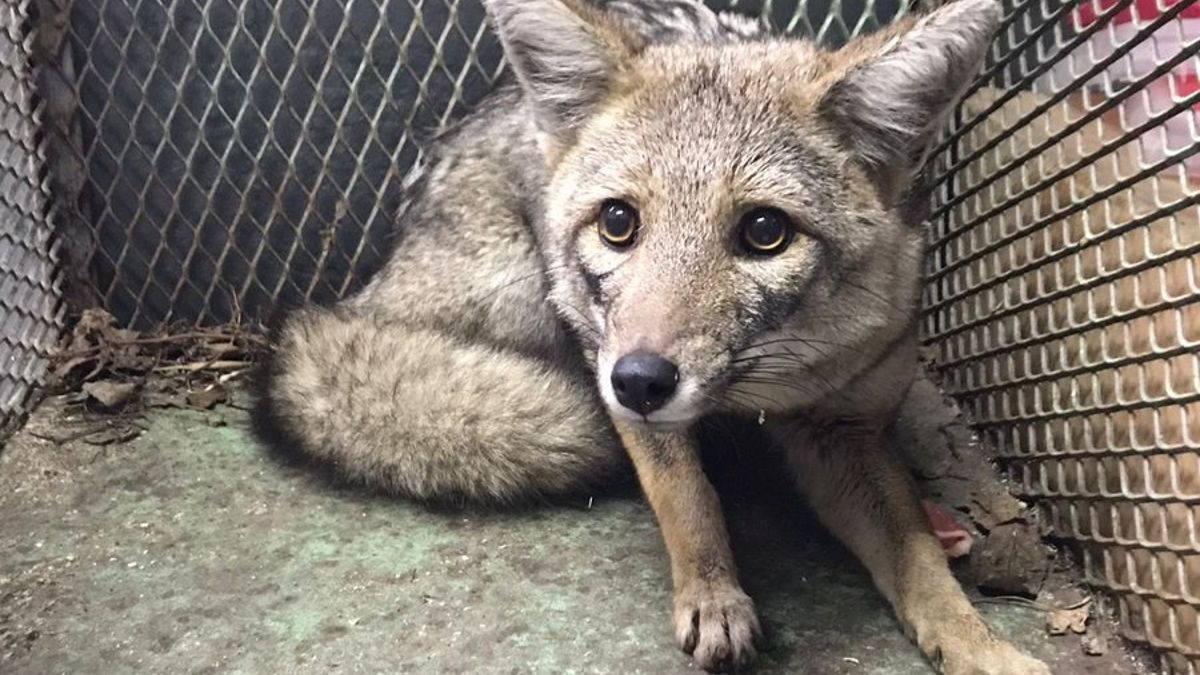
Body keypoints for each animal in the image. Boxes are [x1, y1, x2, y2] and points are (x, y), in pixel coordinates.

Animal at [253, 0, 1054, 673]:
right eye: (618, 222)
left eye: (764, 232)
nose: (637, 380)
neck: (765, 385)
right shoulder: (614, 366)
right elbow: (687, 496)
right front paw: (714, 596)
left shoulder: (843, 426)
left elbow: (918, 564)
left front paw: (984, 646)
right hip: (526, 297)